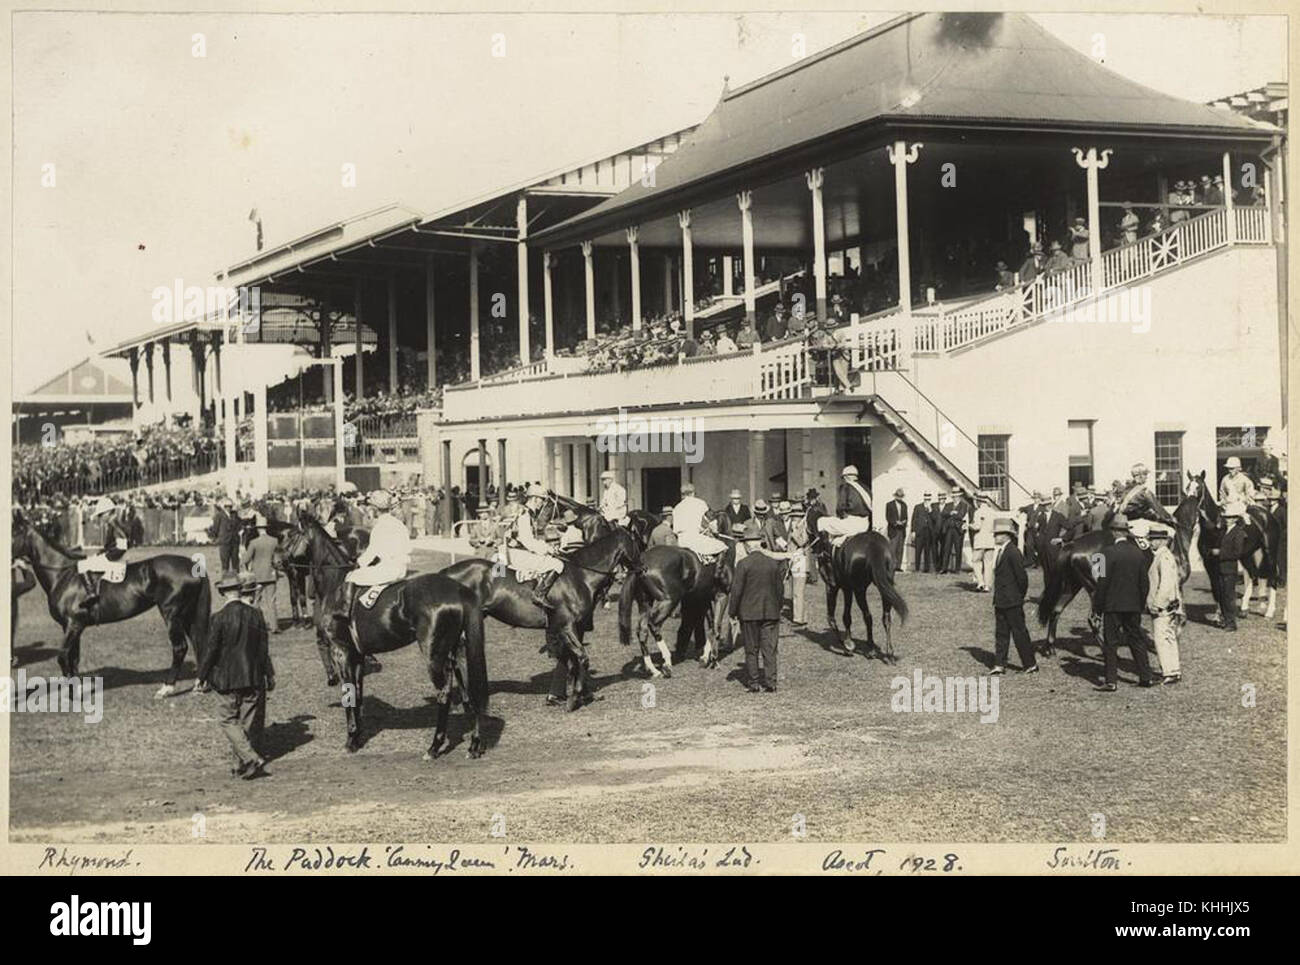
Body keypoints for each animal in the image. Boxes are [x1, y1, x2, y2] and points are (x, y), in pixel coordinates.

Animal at [10, 509, 210, 697]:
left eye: (13, 533)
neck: (62, 574)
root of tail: (192, 565)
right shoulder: (72, 627)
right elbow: (74, 659)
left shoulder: (73, 624)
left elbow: (63, 657)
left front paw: (73, 693)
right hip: (187, 616)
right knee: (198, 644)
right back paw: (199, 684)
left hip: (172, 615)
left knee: (180, 647)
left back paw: (166, 688)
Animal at [439, 528, 637, 712]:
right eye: (637, 541)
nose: (641, 568)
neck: (580, 575)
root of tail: (446, 572)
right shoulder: (567, 627)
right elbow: (581, 658)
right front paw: (574, 698)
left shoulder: (575, 628)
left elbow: (573, 661)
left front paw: (579, 695)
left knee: (456, 658)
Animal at [616, 543, 738, 681]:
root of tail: (642, 560)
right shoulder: (722, 596)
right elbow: (716, 627)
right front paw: (714, 660)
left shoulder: (703, 597)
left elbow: (711, 626)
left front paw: (705, 657)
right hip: (670, 600)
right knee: (654, 624)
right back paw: (667, 663)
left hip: (645, 603)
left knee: (642, 631)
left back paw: (654, 670)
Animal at [1180, 473, 1279, 624]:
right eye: (1187, 487)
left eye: (1198, 487)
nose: (1189, 503)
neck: (1214, 527)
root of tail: (1266, 514)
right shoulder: (1208, 561)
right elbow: (1215, 588)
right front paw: (1218, 615)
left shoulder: (1221, 560)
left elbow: (1222, 587)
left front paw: (1223, 616)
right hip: (1247, 555)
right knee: (1252, 574)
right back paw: (1244, 609)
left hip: (1270, 552)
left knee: (1272, 576)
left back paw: (1269, 611)